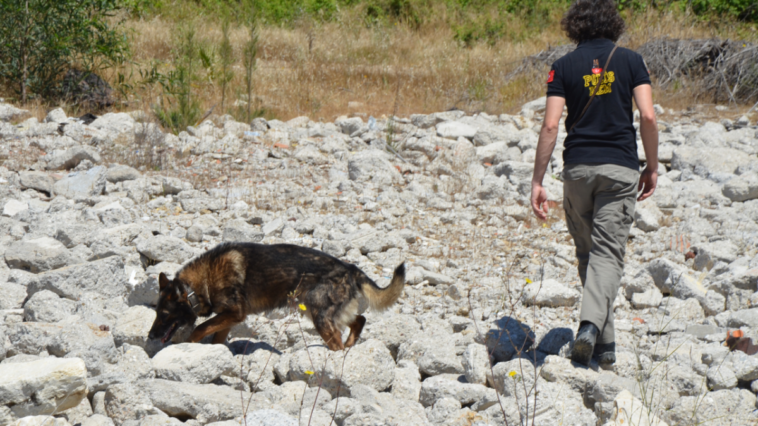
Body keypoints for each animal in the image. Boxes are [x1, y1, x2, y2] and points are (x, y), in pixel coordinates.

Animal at [150, 241, 410, 352]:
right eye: (156, 312)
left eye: (164, 314)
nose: (150, 336)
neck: (197, 286)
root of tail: (350, 268)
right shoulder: (229, 319)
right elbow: (215, 336)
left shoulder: (233, 313)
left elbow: (199, 329)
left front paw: (190, 344)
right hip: (327, 312)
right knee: (359, 320)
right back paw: (350, 345)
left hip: (320, 317)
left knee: (338, 338)